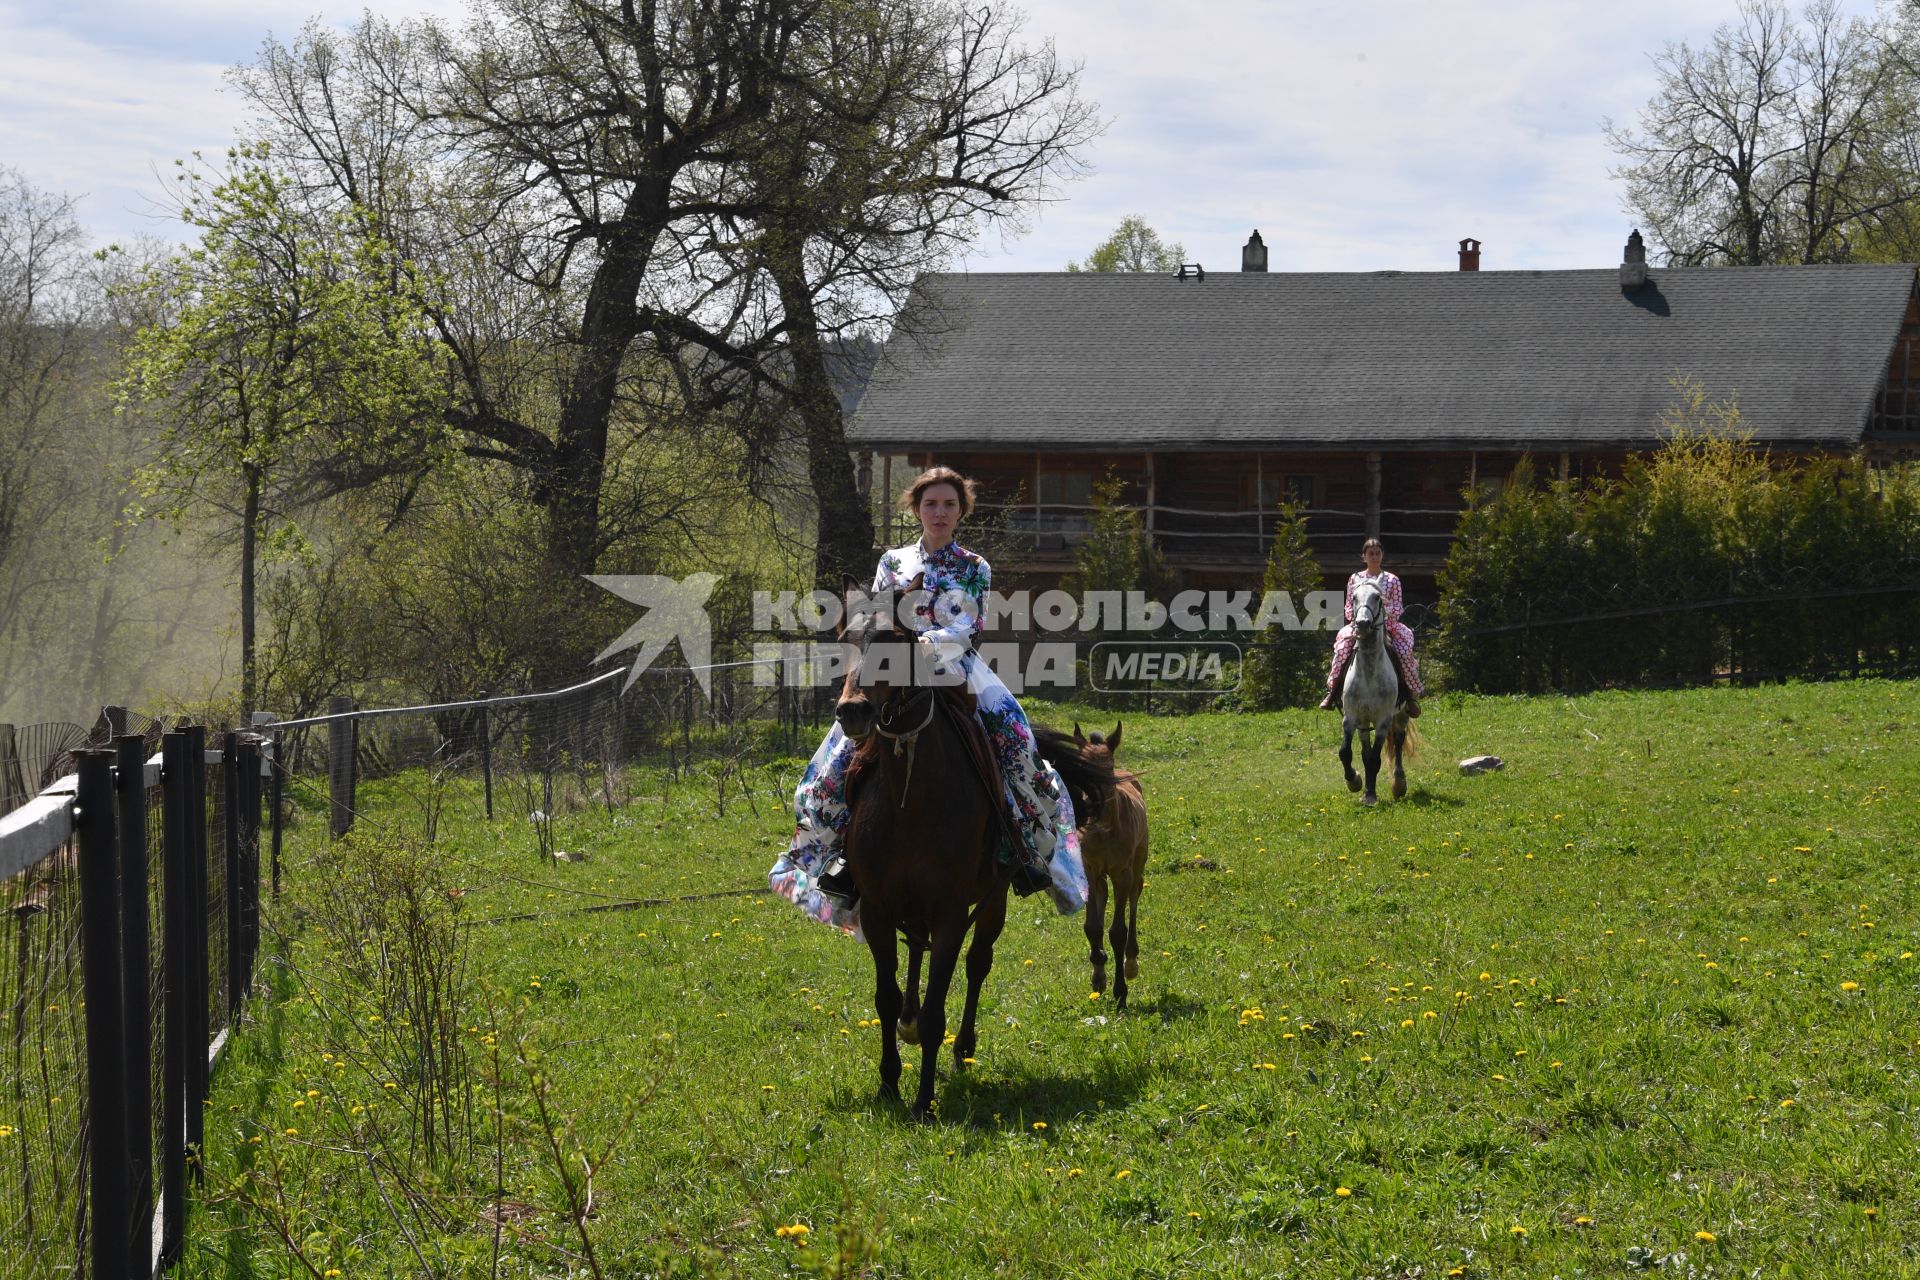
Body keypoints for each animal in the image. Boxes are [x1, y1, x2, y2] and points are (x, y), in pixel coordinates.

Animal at [837, 583, 1121, 1120]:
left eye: (894, 641)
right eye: (844, 640)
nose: (852, 711)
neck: (910, 800)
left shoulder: (951, 912)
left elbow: (937, 1008)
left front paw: (923, 1101)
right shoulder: (878, 910)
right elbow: (886, 997)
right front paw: (888, 1085)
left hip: (992, 903)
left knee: (977, 964)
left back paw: (963, 1048)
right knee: (916, 957)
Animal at [1344, 579, 1420, 805]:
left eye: (1377, 597)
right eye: (1354, 597)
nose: (1362, 623)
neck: (1369, 671)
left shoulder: (1383, 721)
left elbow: (1375, 759)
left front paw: (1370, 795)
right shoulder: (1351, 718)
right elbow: (1346, 753)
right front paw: (1355, 782)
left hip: (1401, 715)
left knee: (1398, 742)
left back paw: (1399, 785)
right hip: (1363, 722)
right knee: (1364, 750)